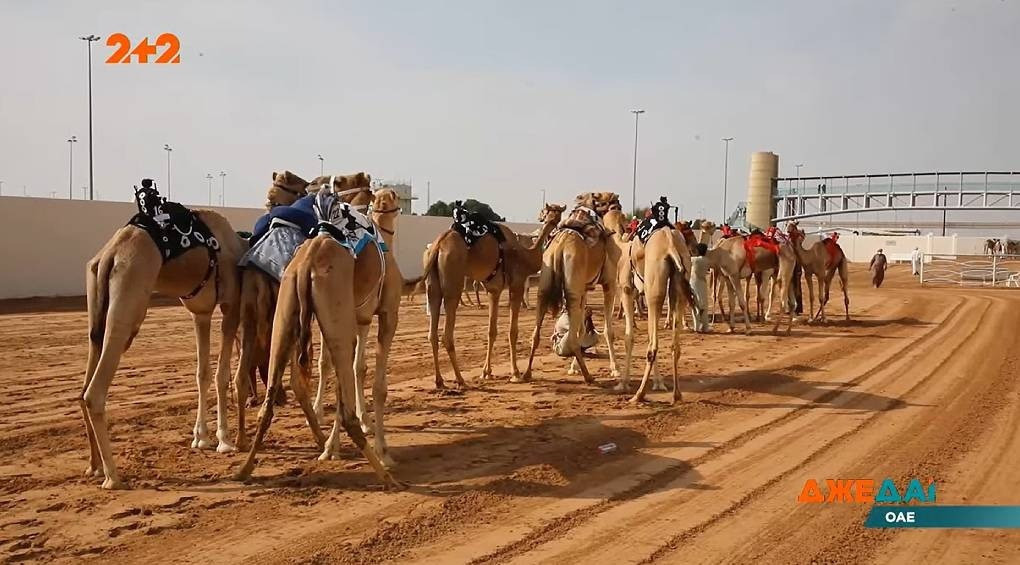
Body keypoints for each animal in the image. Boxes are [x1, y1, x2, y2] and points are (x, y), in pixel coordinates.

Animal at [81, 181, 244, 487]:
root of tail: (110, 255)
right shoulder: (230, 306)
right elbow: (221, 374)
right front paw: (224, 440)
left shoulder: (200, 312)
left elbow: (202, 373)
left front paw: (200, 438)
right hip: (131, 296)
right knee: (94, 393)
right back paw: (113, 477)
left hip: (97, 305)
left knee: (84, 384)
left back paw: (94, 466)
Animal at [235, 186, 401, 485]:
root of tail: (306, 265)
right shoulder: (387, 313)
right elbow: (377, 386)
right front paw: (384, 451)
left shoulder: (355, 320)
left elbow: (347, 375)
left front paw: (333, 448)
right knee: (342, 408)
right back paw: (385, 475)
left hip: (285, 312)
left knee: (268, 396)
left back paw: (245, 467)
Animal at [422, 199, 567, 385]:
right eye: (550, 211)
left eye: (558, 213)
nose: (554, 222)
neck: (525, 256)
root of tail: (438, 246)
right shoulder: (516, 285)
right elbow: (512, 331)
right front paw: (515, 373)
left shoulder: (494, 290)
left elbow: (491, 331)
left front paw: (486, 372)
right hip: (452, 279)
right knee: (447, 334)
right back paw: (460, 380)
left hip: (433, 284)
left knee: (432, 333)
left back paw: (439, 380)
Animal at [518, 198, 620, 383]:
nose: (540, 217)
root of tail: (560, 248)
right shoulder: (609, 283)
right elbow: (608, 331)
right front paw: (615, 369)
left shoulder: (584, 287)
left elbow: (581, 328)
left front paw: (573, 368)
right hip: (573, 286)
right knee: (572, 337)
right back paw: (588, 376)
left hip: (547, 282)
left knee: (537, 333)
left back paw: (527, 374)